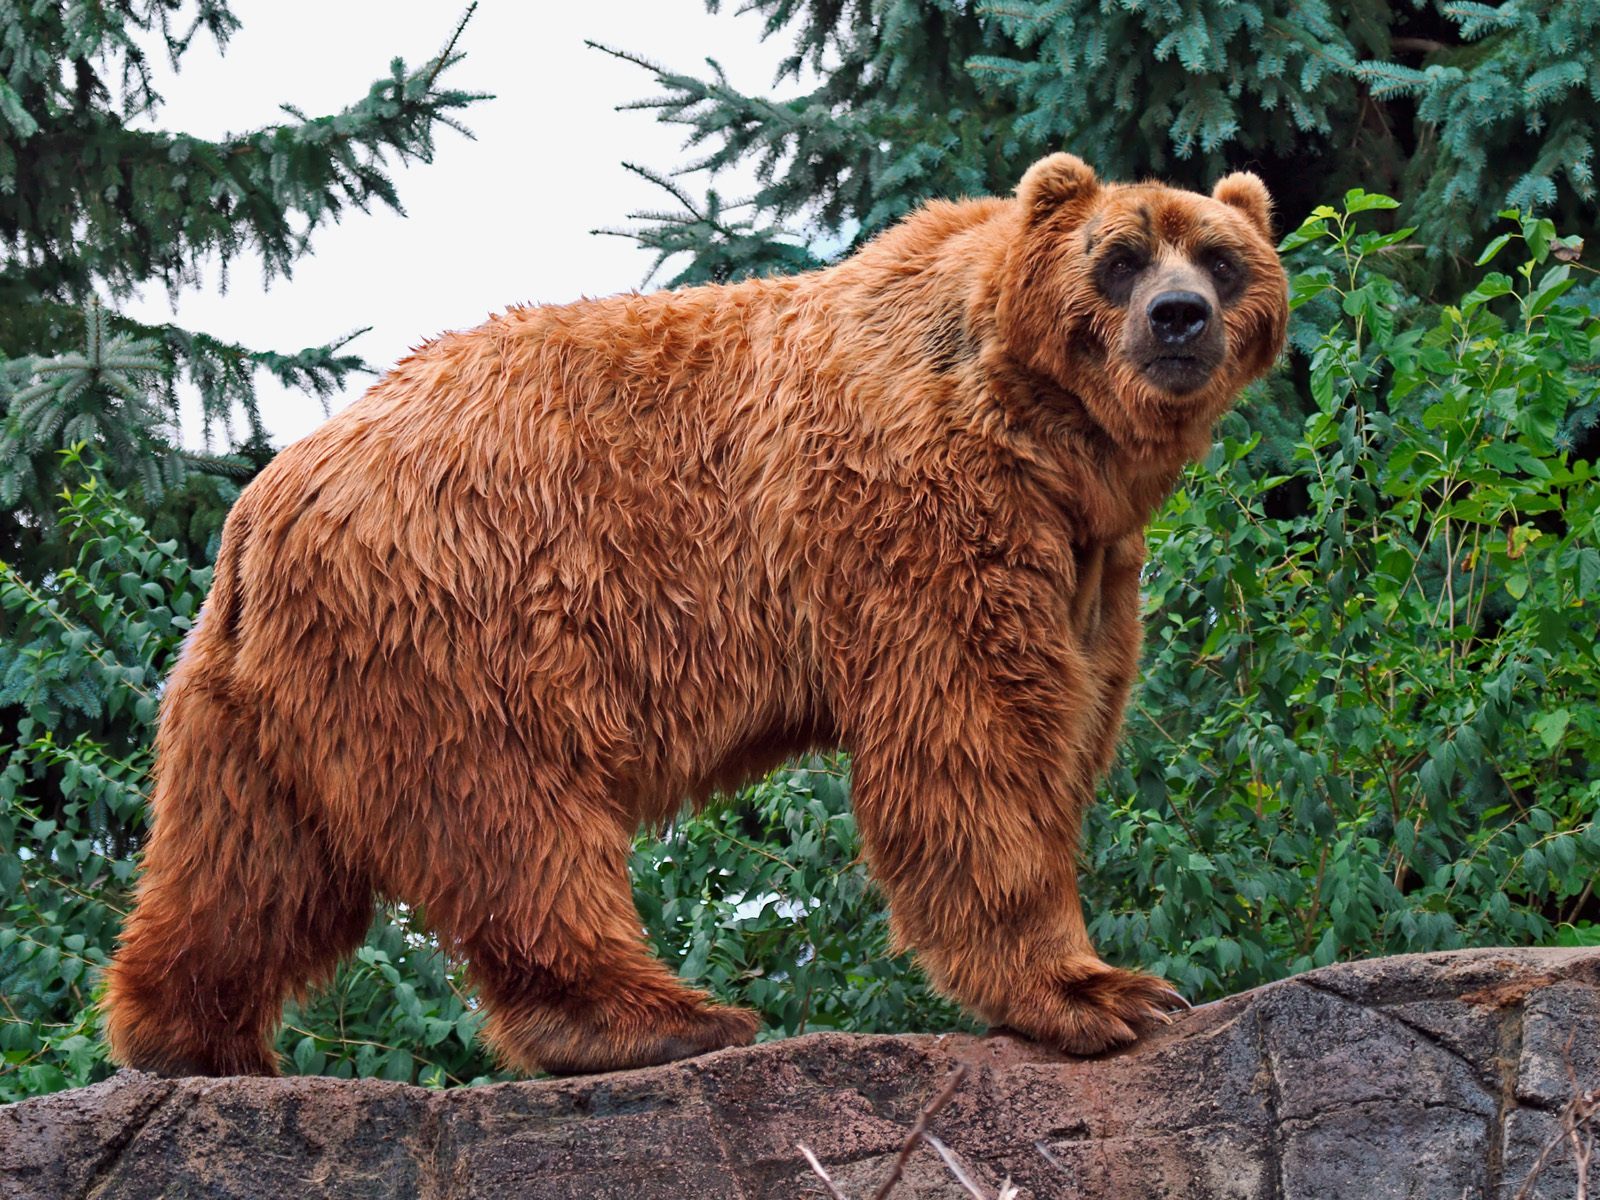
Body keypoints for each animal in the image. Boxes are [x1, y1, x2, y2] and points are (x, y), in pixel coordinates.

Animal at [103, 152, 1286, 1081]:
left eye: (1222, 257)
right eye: (1119, 257)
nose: (1179, 317)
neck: (1045, 434)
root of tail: (265, 503)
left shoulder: (1087, 556)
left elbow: (1071, 711)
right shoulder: (923, 509)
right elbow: (974, 737)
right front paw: (1103, 990)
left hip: (266, 692)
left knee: (251, 860)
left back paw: (190, 1037)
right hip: (463, 611)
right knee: (514, 818)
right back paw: (663, 1018)